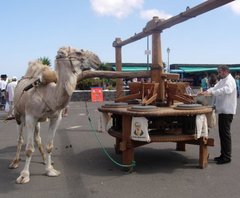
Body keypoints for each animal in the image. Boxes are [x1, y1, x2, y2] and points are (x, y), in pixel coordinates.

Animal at [10, 46, 100, 184]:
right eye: (78, 52)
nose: (97, 60)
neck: (49, 94)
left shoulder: (55, 118)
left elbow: (49, 146)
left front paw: (50, 170)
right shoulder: (30, 117)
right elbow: (29, 149)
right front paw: (24, 176)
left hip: (37, 121)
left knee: (37, 138)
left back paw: (44, 160)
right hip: (19, 116)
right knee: (20, 139)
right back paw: (14, 163)